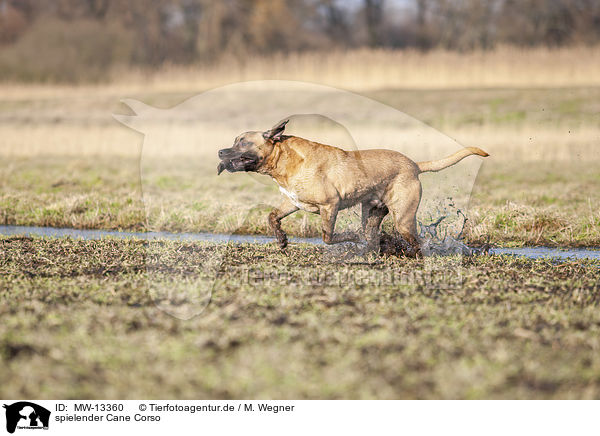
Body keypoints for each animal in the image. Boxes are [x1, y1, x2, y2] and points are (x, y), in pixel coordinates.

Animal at [218, 119, 490, 255]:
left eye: (242, 142)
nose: (220, 152)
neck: (283, 159)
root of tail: (414, 164)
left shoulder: (330, 205)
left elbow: (328, 236)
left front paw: (348, 237)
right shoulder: (292, 202)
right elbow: (272, 217)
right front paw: (282, 240)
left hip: (403, 218)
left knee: (416, 242)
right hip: (372, 211)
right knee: (372, 235)